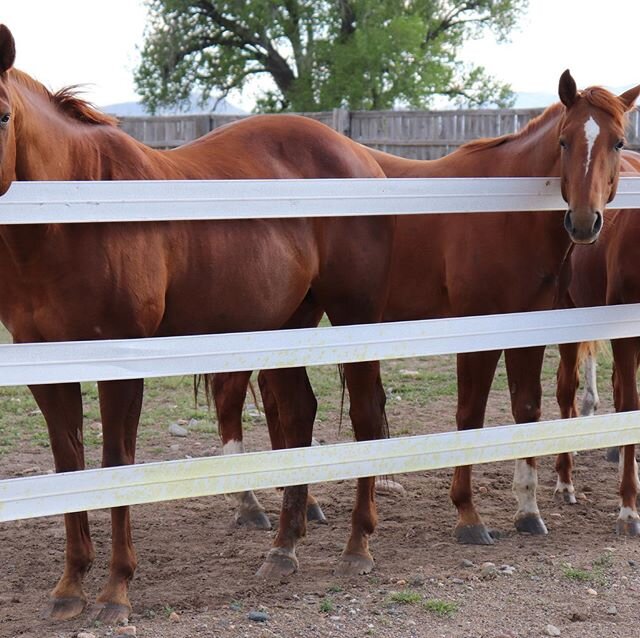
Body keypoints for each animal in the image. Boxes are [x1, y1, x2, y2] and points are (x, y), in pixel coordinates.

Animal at [0, 25, 396, 624]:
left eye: (2, 116)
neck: (74, 212)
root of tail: (357, 154)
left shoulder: (120, 362)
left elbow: (115, 462)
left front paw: (115, 591)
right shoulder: (46, 364)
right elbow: (71, 465)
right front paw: (69, 586)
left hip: (355, 313)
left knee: (367, 416)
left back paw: (357, 547)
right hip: (288, 322)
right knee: (298, 412)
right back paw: (283, 549)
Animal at [215, 74, 640, 544]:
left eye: (619, 142)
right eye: (564, 141)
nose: (584, 222)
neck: (503, 211)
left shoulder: (529, 327)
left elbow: (527, 409)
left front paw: (528, 511)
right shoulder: (477, 327)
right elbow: (470, 414)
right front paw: (468, 515)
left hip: (300, 316)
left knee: (273, 397)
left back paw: (302, 501)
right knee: (230, 393)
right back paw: (250, 504)